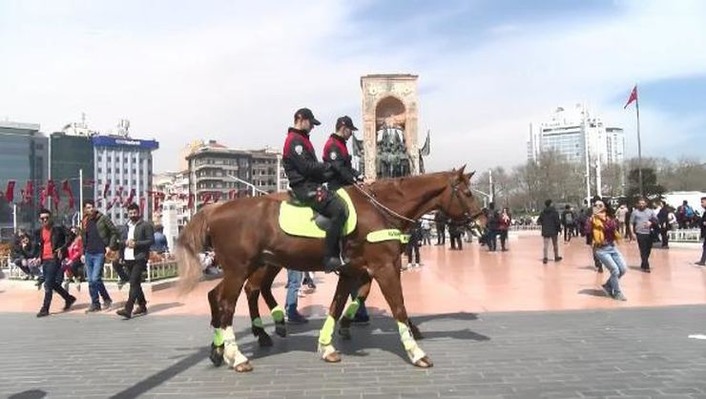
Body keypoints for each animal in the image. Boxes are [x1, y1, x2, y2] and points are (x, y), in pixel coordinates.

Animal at [176, 166, 484, 372]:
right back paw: (238, 354)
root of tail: (215, 209)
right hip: (241, 269)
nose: (482, 222)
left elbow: (338, 305)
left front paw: (327, 345)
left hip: (246, 268)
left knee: (220, 297)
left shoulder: (352, 271)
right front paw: (415, 351)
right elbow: (398, 306)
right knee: (229, 303)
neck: (380, 208)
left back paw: (221, 349)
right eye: (468, 193)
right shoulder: (385, 267)